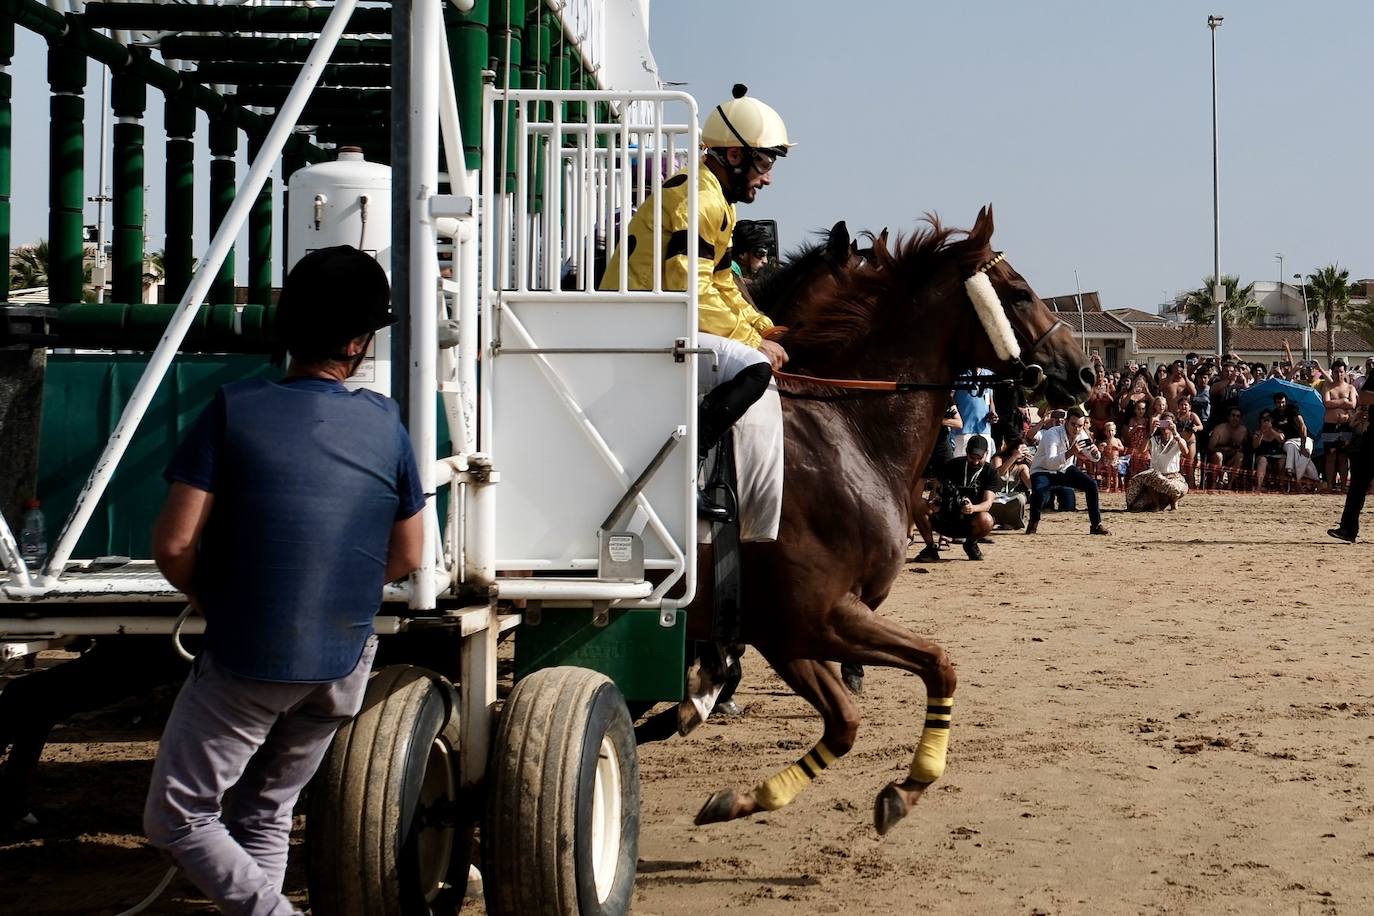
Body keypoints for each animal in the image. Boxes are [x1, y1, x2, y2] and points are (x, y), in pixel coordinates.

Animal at [697, 207, 1093, 840]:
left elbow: (858, 707)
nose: (1085, 373)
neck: (845, 425)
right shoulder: (806, 615)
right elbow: (929, 668)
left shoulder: (785, 623)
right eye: (1021, 292)